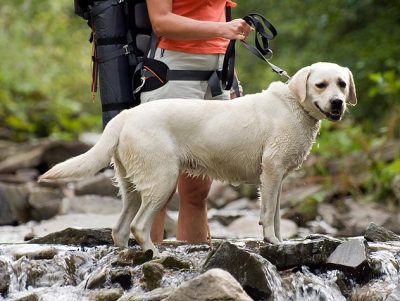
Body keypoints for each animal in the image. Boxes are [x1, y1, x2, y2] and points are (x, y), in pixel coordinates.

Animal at [38, 62, 356, 254]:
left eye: (341, 84)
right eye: (320, 85)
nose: (338, 103)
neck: (295, 105)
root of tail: (125, 115)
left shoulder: (277, 178)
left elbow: (276, 214)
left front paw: (278, 241)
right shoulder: (272, 171)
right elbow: (267, 215)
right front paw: (272, 242)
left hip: (133, 185)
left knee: (119, 228)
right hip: (163, 181)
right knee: (139, 226)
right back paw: (152, 254)